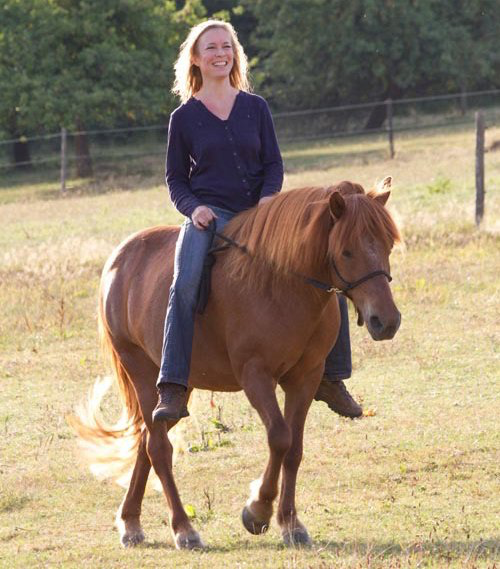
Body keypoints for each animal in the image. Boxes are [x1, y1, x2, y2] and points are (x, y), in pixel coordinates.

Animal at [70, 178, 401, 549]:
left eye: (388, 244)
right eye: (346, 252)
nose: (386, 321)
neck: (280, 284)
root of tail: (119, 259)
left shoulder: (305, 377)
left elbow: (294, 448)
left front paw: (290, 524)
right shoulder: (255, 376)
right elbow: (280, 437)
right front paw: (257, 511)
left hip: (177, 388)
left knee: (146, 439)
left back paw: (130, 522)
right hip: (141, 371)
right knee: (158, 447)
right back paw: (183, 529)